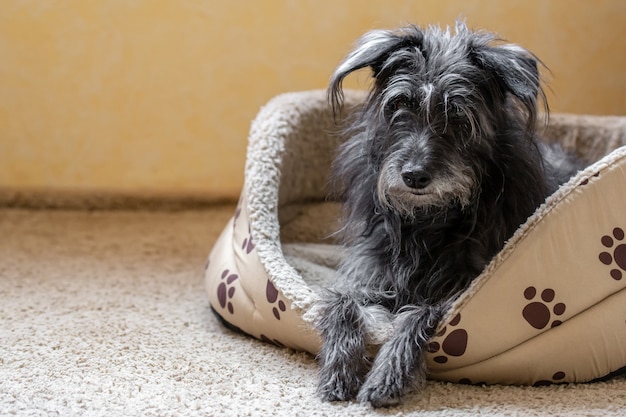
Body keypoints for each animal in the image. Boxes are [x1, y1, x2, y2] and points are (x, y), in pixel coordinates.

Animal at [312, 22, 580, 406]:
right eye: (400, 105)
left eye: (457, 114)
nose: (414, 176)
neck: (428, 219)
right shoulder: (368, 275)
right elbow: (340, 301)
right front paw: (337, 369)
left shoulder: (457, 292)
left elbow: (417, 315)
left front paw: (387, 375)